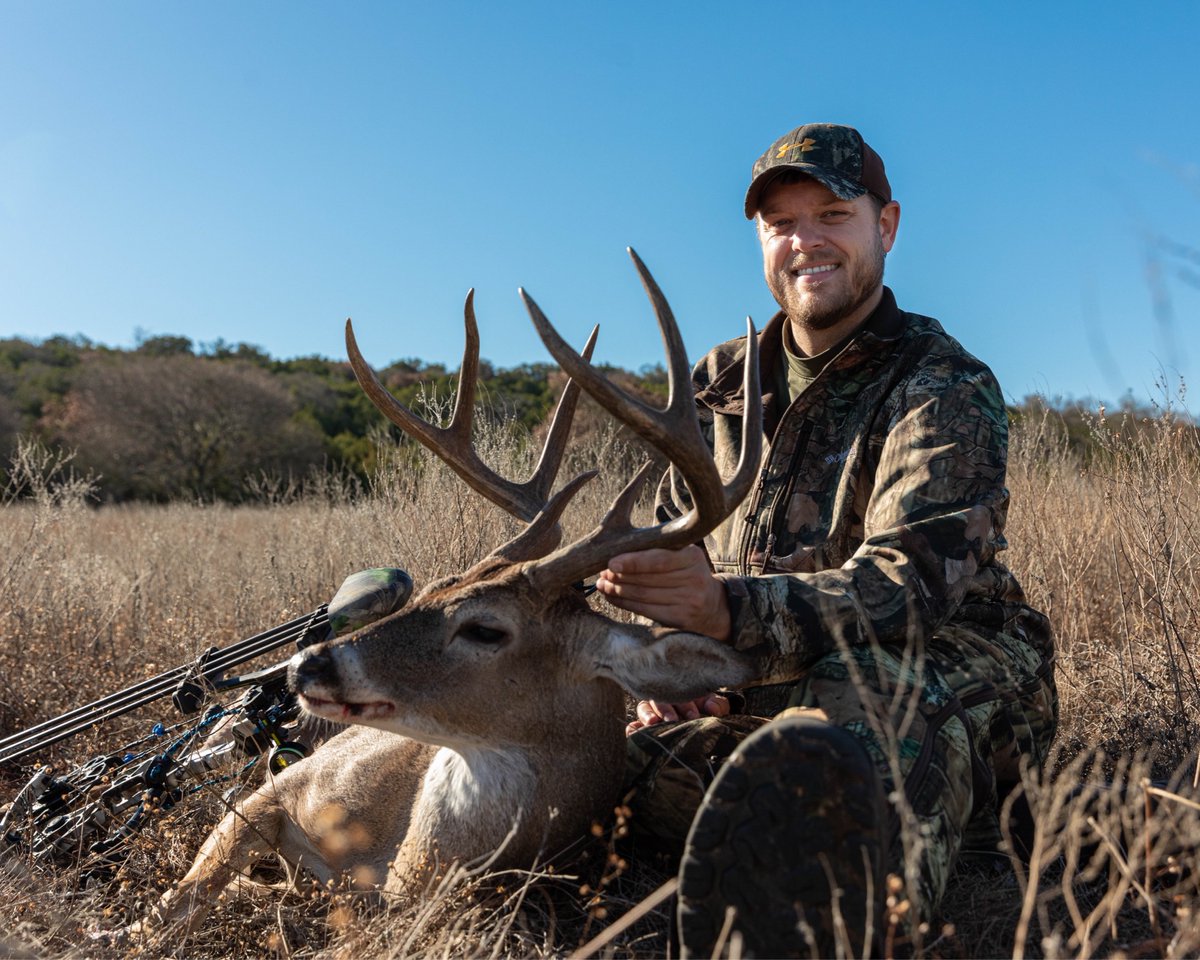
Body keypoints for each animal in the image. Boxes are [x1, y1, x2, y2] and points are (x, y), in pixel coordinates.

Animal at [117, 249, 763, 939]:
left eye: (485, 628)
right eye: (433, 586)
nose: (306, 663)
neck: (400, 865)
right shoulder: (277, 791)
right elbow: (177, 902)